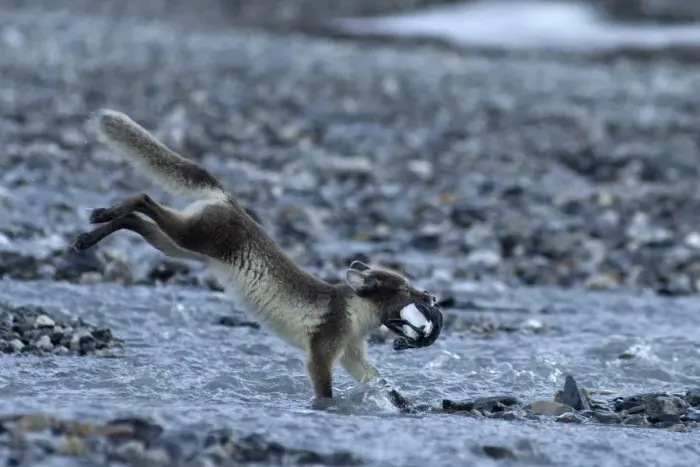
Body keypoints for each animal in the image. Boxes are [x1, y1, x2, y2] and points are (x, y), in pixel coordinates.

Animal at [70, 109, 441, 409]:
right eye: (405, 289)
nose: (432, 297)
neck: (355, 316)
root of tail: (227, 198)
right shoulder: (322, 351)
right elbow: (324, 390)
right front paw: (325, 410)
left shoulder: (351, 355)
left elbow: (381, 381)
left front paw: (405, 404)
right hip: (187, 237)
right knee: (144, 199)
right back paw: (103, 216)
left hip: (177, 246)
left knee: (136, 220)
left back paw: (92, 232)